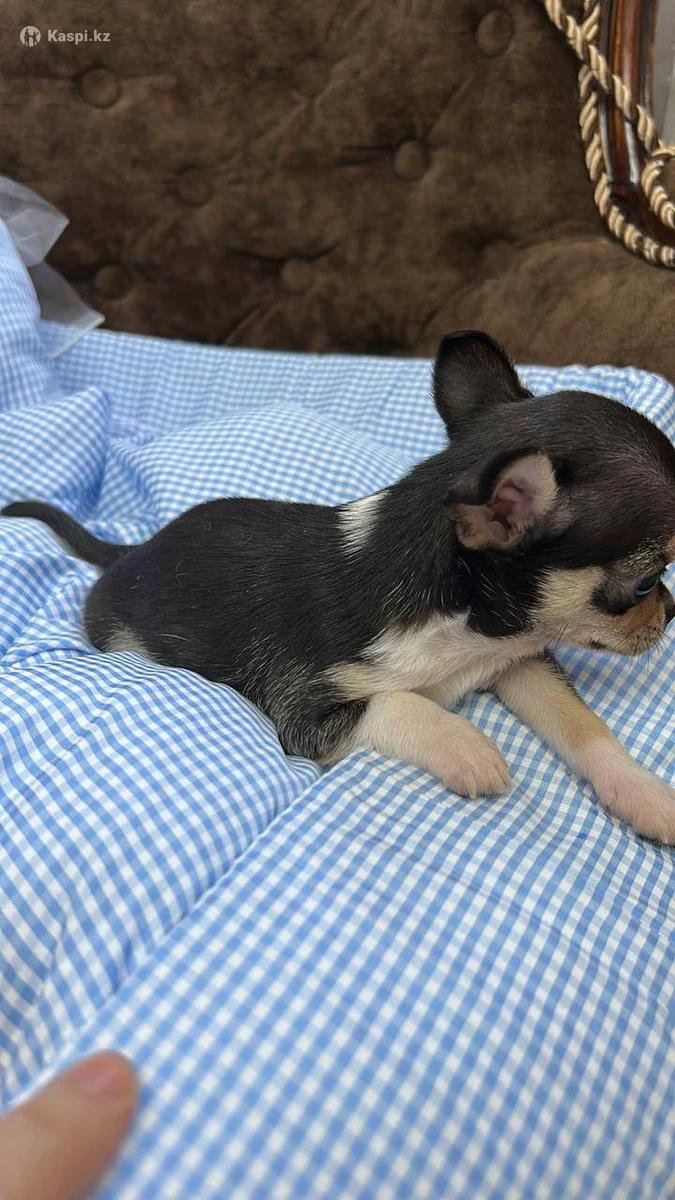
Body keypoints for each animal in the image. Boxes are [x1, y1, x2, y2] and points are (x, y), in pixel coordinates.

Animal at [4, 331, 675, 843]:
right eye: (647, 581)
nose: (669, 614)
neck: (460, 627)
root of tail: (131, 551)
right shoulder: (305, 712)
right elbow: (400, 702)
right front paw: (467, 744)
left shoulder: (519, 660)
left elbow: (583, 724)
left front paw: (644, 794)